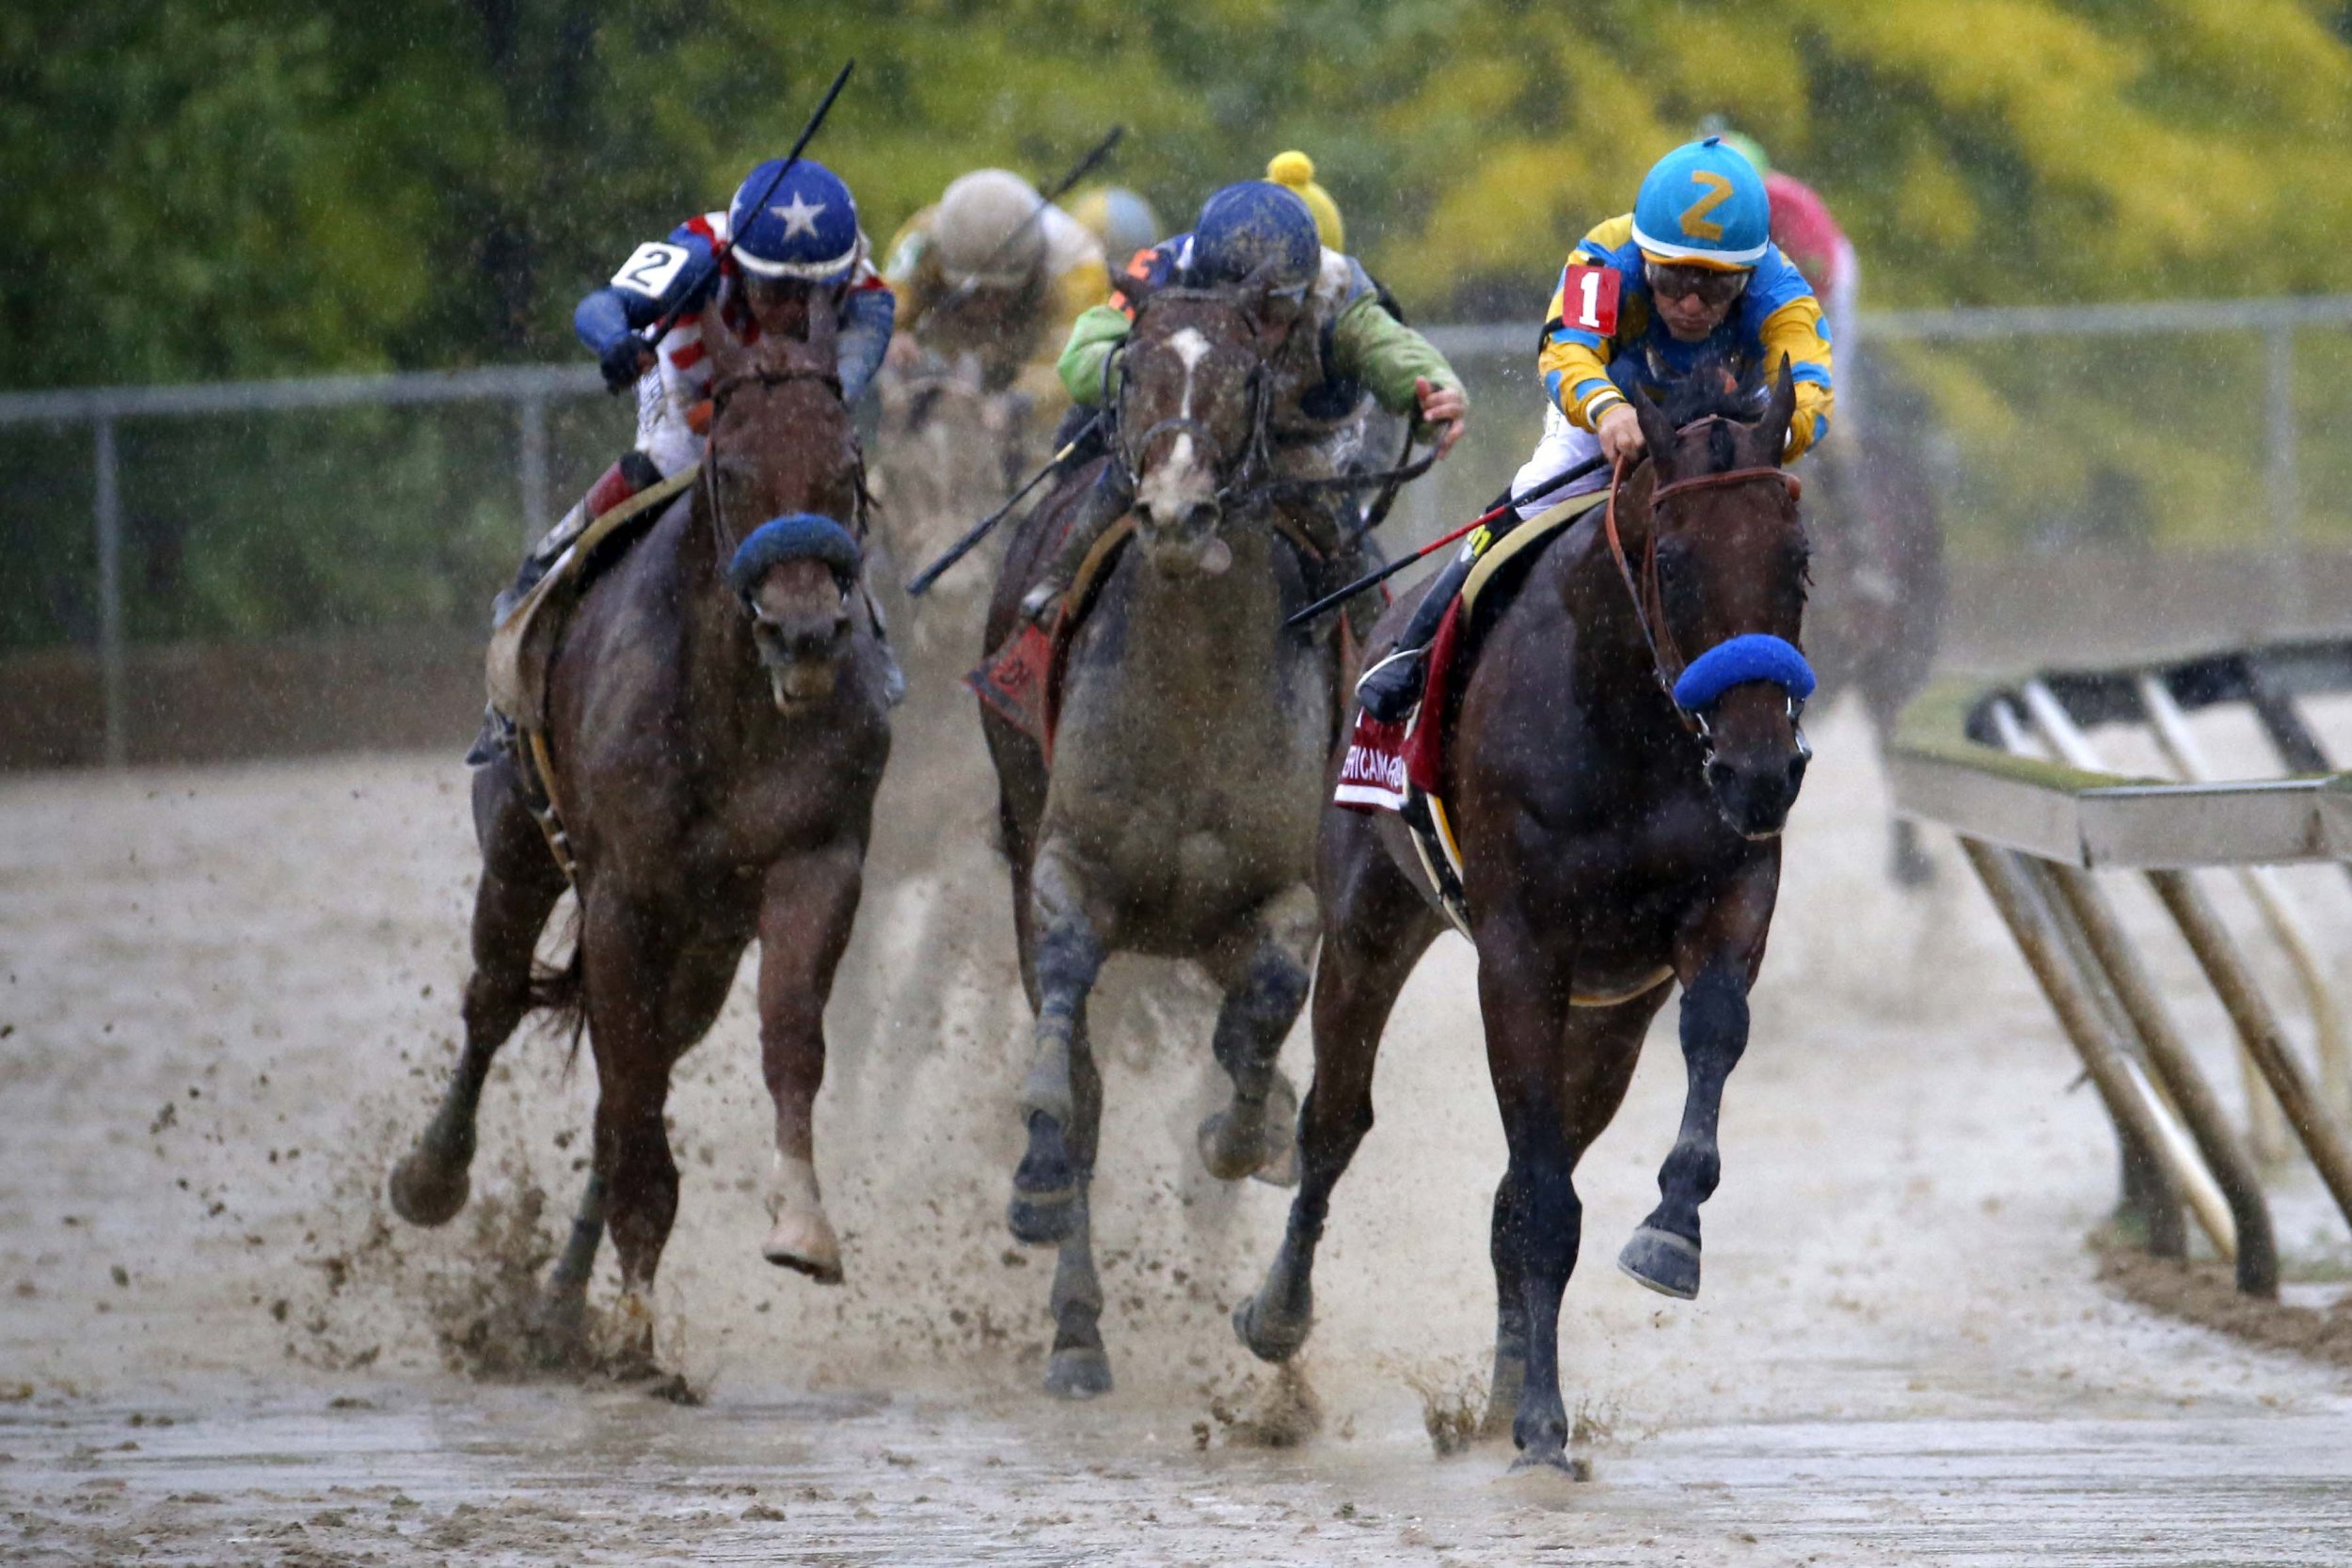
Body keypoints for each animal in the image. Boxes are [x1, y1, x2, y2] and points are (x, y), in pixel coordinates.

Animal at [974, 288, 1345, 1401]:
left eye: (1247, 377)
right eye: (1129, 369)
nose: (1176, 516)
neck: (1192, 687)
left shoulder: (1283, 891)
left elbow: (1267, 1004)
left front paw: (1244, 1133)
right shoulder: (1063, 863)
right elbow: (1069, 1043)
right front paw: (1039, 1173)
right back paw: (1076, 1327)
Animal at [1232, 369, 1816, 1476]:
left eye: (1797, 562)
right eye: (1672, 561)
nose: (1763, 769)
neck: (1626, 719)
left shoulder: (1720, 902)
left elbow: (1714, 1027)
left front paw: (1671, 1229)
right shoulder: (1518, 952)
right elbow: (1540, 1200)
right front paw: (1544, 1425)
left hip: (1609, 1015)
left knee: (1517, 1177)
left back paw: (1499, 1390)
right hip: (1368, 921)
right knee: (1333, 1121)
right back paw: (1277, 1315)